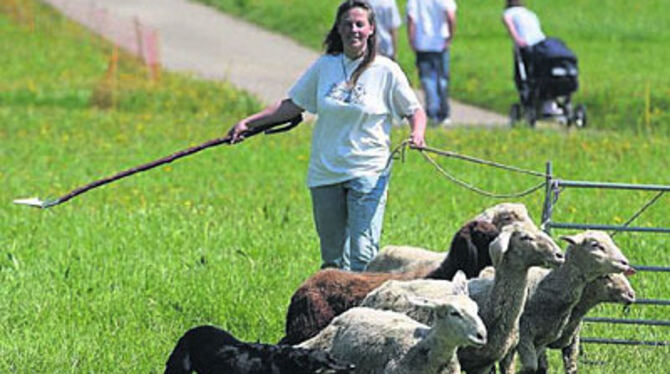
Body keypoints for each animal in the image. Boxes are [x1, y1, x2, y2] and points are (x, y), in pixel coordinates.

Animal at [504, 231, 640, 374]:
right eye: (595, 245)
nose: (631, 295)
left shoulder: (567, 342)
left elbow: (570, 368)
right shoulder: (525, 335)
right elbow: (533, 366)